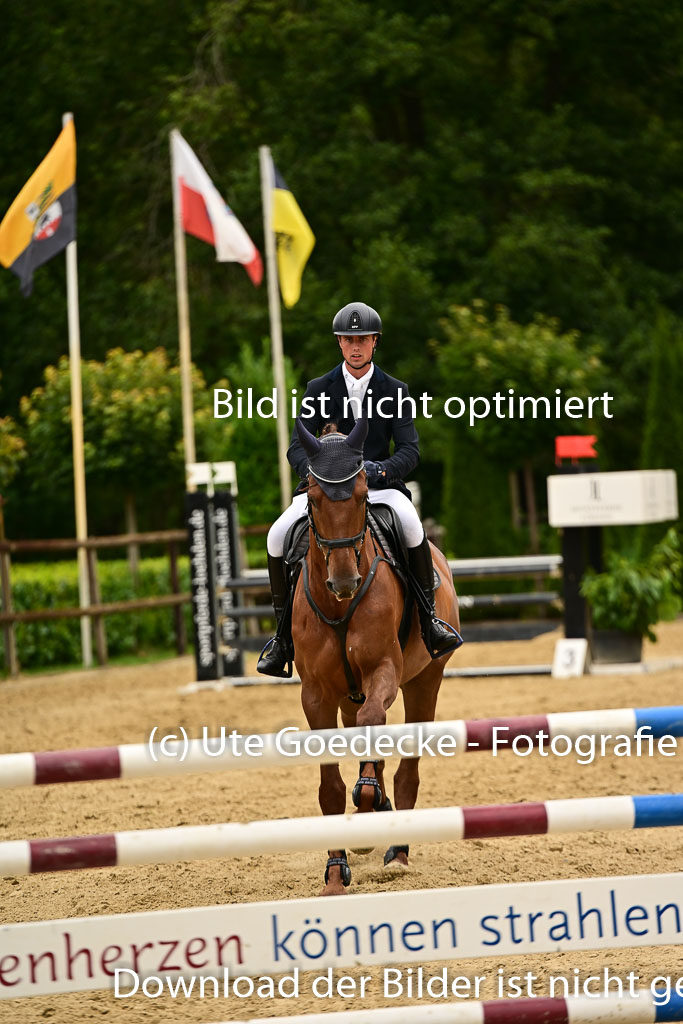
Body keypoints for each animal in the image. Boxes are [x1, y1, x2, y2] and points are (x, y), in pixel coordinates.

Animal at [291, 415, 461, 896]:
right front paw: (334, 874)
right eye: (313, 498)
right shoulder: (316, 694)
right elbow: (330, 788)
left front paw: (367, 805)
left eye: (364, 493)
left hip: (424, 679)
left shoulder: (383, 670)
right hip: (350, 693)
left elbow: (373, 727)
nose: (345, 581)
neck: (338, 607)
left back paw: (397, 851)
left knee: (406, 768)